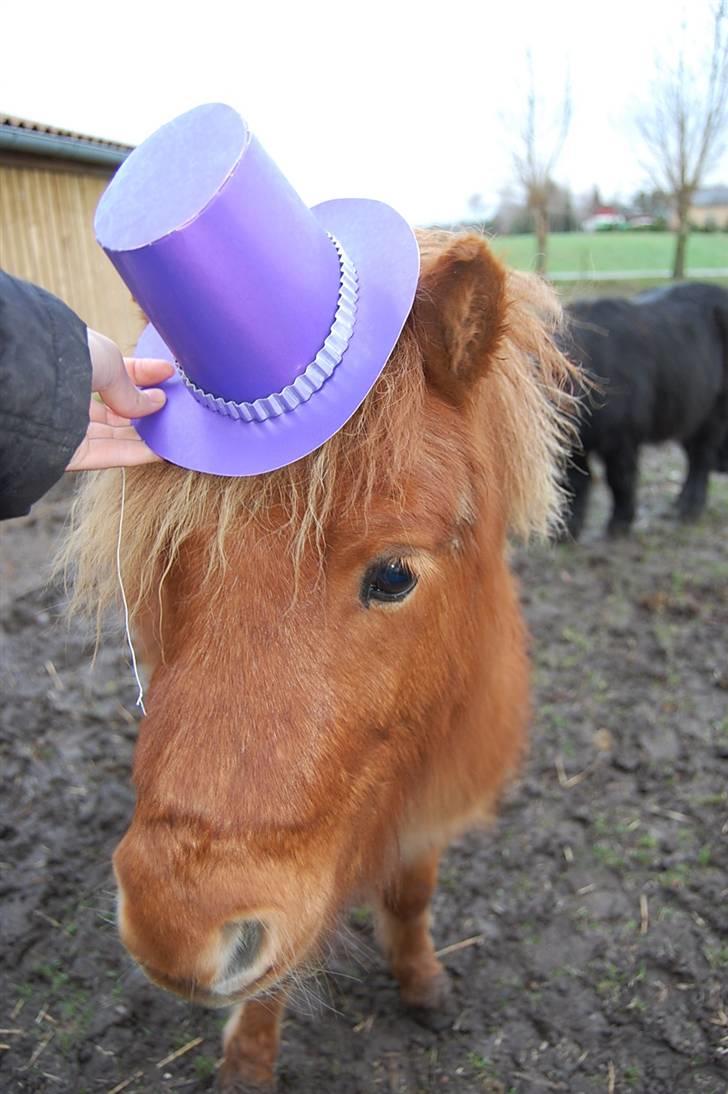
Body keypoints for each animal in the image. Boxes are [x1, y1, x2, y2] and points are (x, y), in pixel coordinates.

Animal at [63, 228, 573, 1085]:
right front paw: (248, 1062)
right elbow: (273, 977)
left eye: (395, 575)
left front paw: (422, 980)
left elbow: (412, 894)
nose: (174, 925)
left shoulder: (434, 801)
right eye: (168, 557)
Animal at [560, 282, 726, 538]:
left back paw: (688, 511)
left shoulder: (622, 438)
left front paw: (618, 526)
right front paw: (567, 533)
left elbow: (619, 479)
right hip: (690, 412)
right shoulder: (576, 445)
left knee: (700, 459)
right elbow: (577, 482)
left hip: (713, 413)